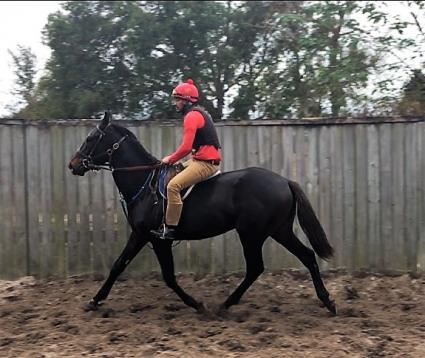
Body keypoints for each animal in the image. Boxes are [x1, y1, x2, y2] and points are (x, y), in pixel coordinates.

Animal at [68, 113, 334, 314]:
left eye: (91, 138)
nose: (73, 164)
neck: (144, 182)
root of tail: (284, 181)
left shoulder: (150, 236)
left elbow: (145, 271)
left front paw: (196, 304)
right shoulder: (150, 238)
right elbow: (139, 270)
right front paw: (95, 300)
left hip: (252, 234)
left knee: (255, 267)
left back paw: (226, 304)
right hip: (279, 230)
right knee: (307, 256)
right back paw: (328, 301)